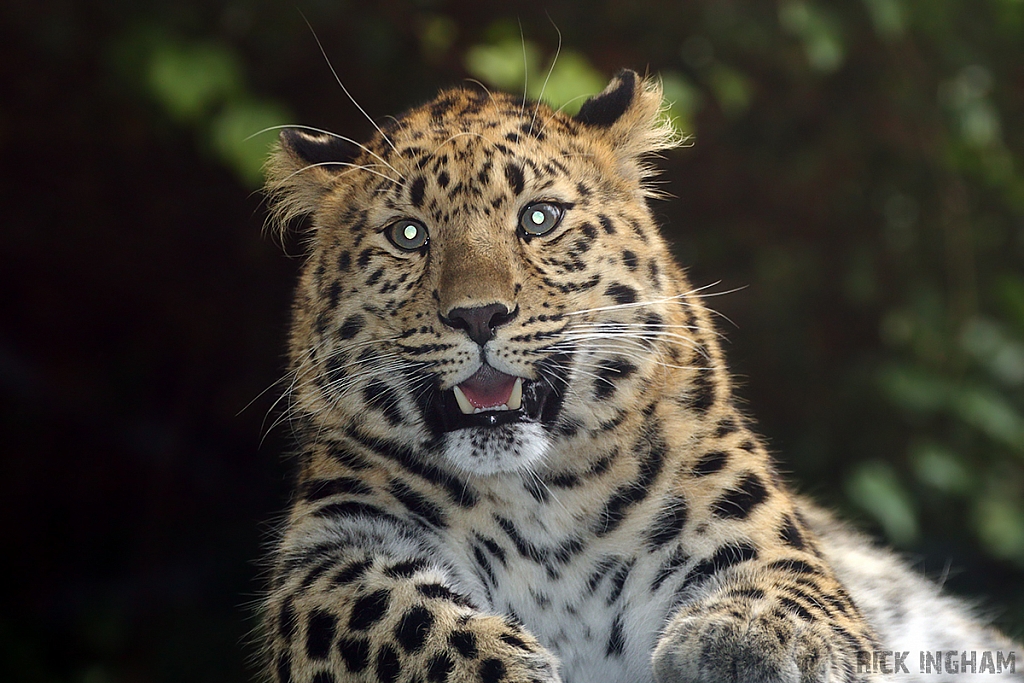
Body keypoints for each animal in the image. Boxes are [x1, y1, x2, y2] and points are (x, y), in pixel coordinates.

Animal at [258, 70, 1024, 683]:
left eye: (540, 217)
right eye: (408, 234)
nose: (478, 315)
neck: (538, 497)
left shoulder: (746, 514)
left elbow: (788, 591)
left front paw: (747, 641)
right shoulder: (335, 543)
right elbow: (386, 610)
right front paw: (500, 663)